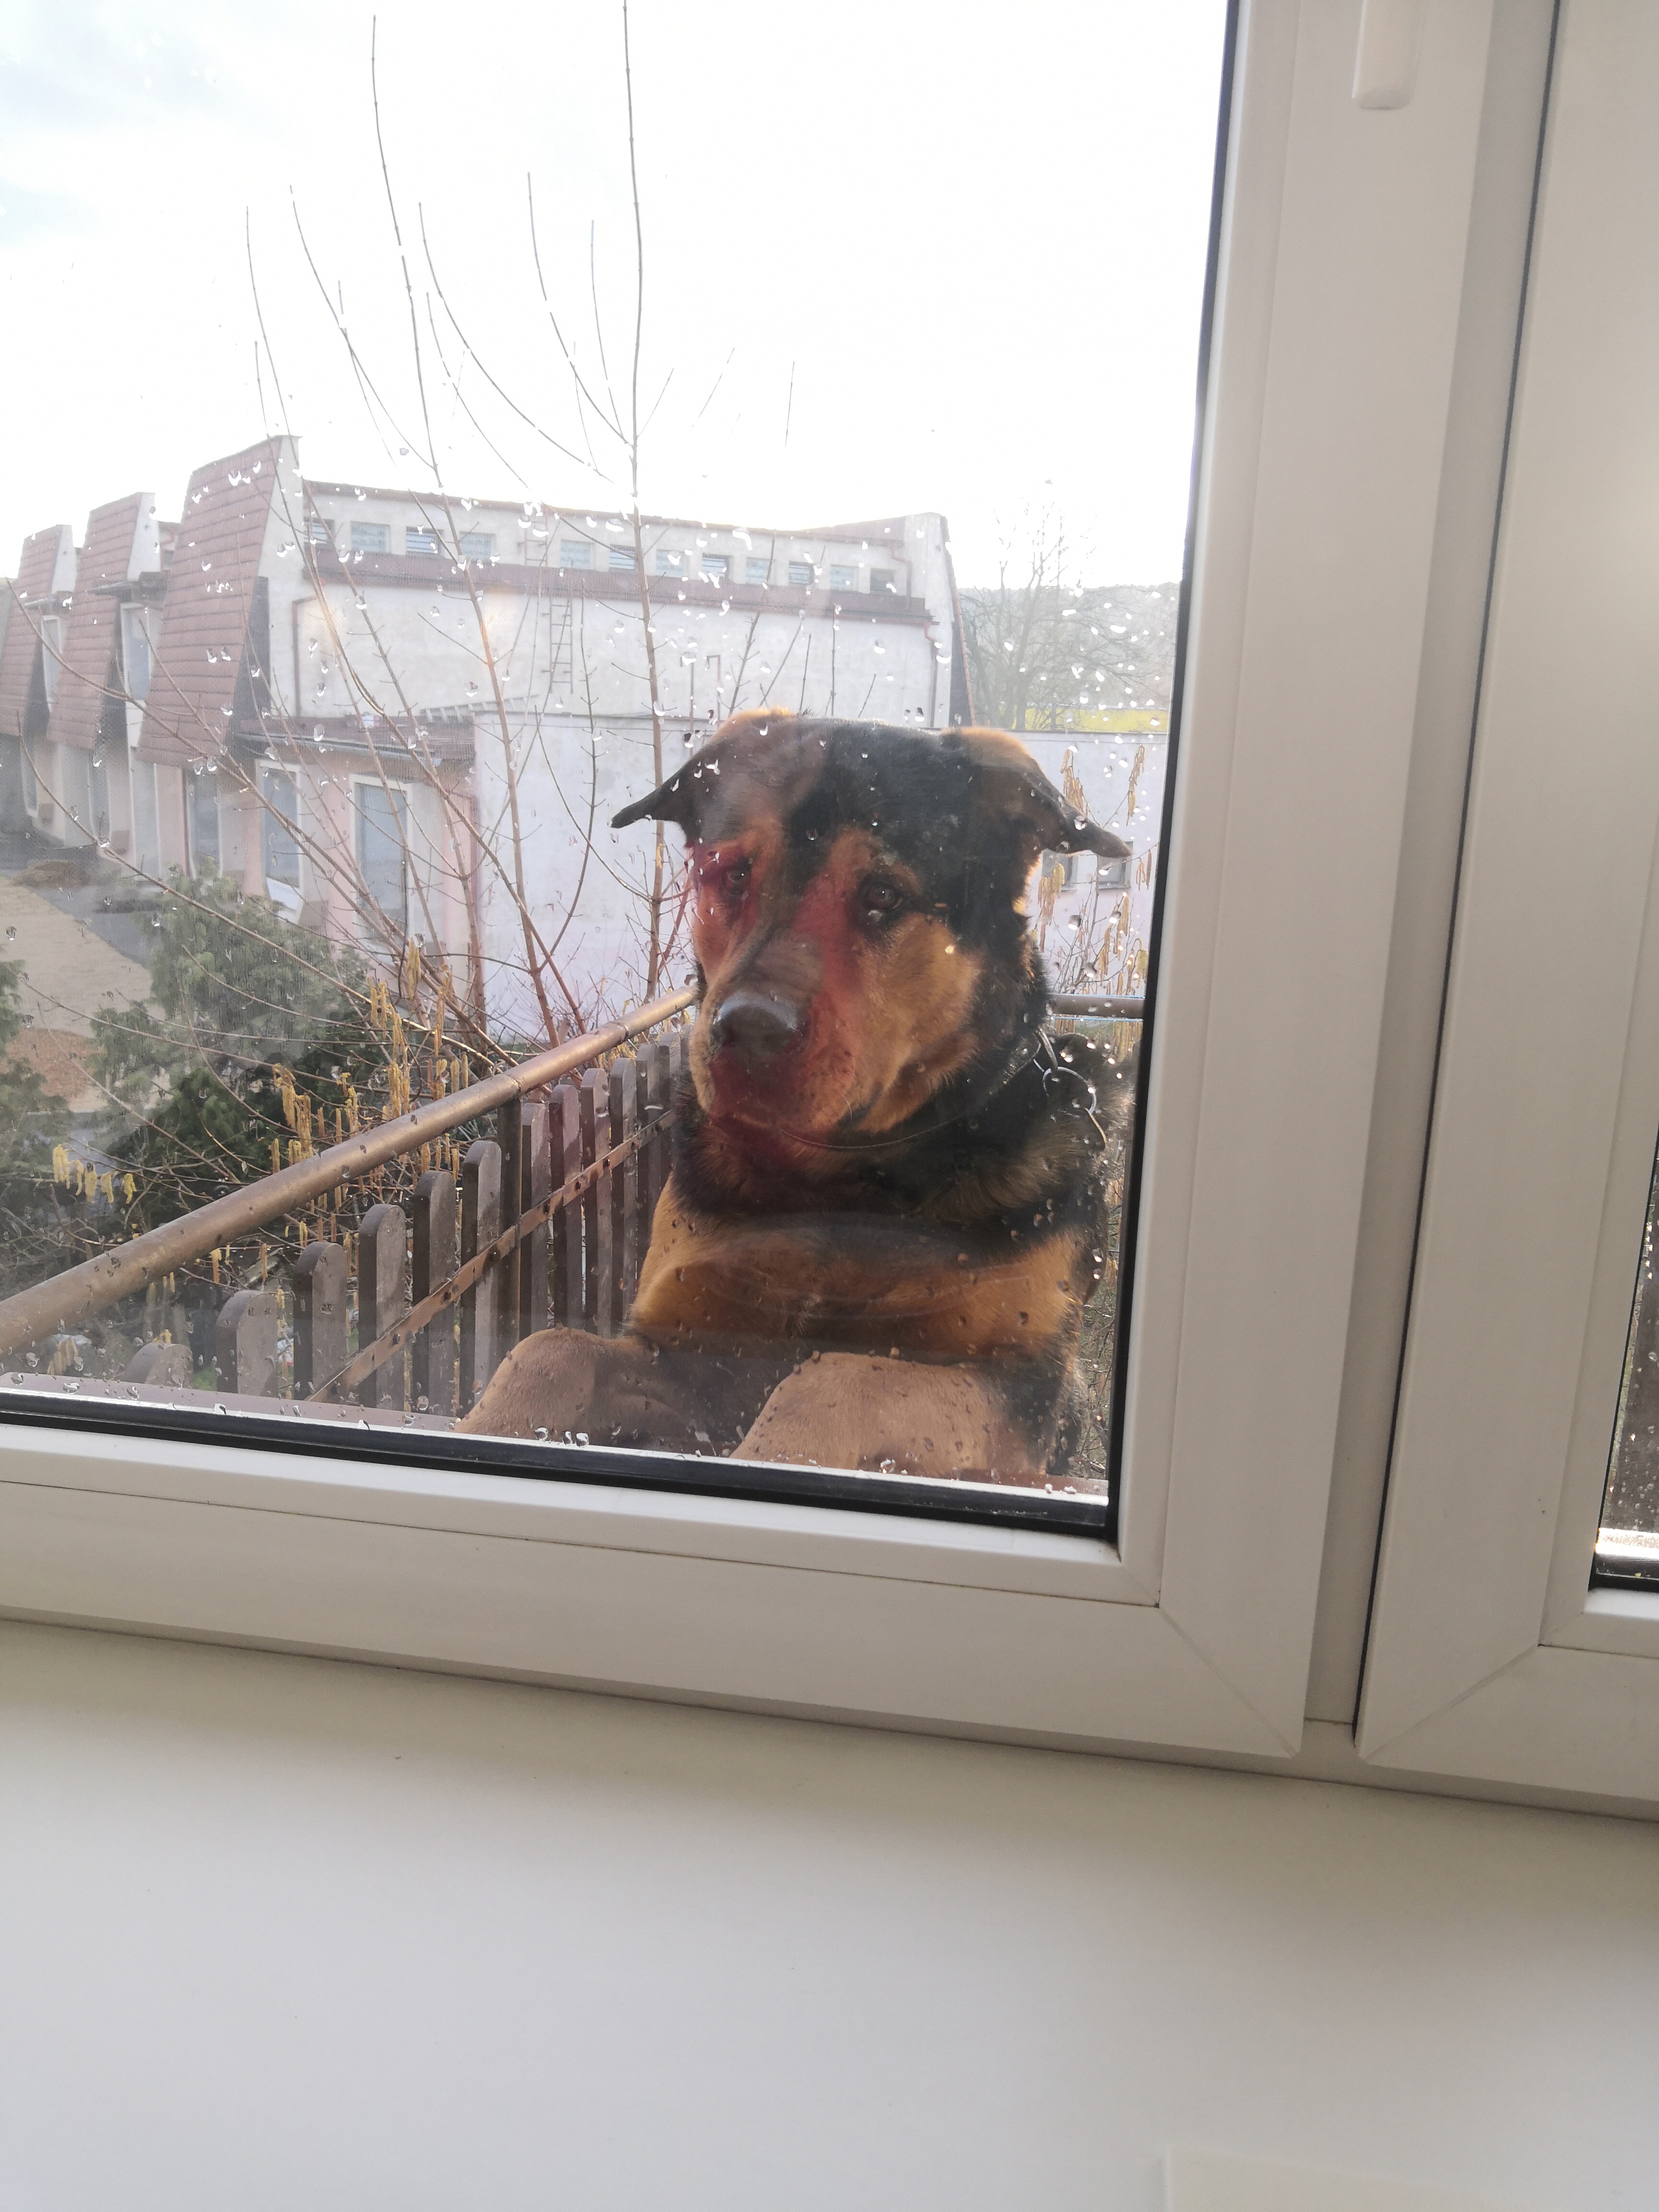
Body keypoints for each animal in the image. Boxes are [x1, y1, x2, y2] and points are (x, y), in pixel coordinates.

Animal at [462, 711, 1135, 1485]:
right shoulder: (689, 1351)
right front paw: (487, 1425)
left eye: (884, 895)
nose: (747, 1031)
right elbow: (549, 1348)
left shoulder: (1023, 1391)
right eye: (732, 873)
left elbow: (837, 1376)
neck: (836, 1179)